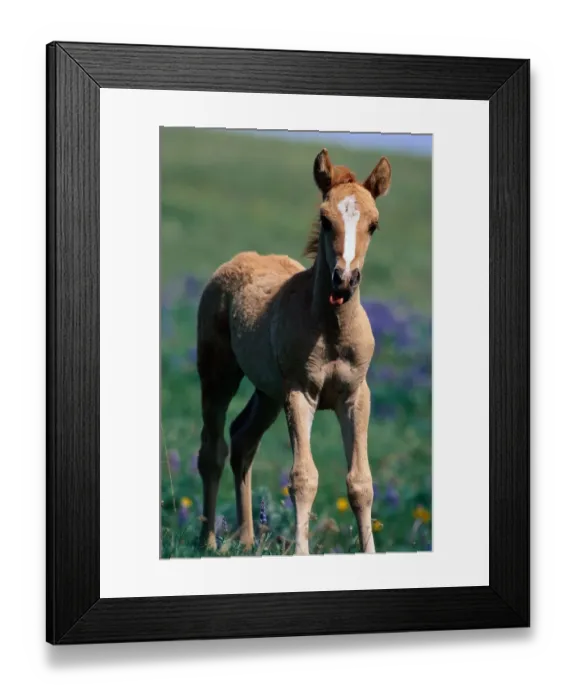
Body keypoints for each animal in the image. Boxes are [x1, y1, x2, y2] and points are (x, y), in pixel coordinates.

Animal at [196, 148, 392, 555]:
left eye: (374, 225)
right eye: (325, 219)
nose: (344, 281)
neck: (332, 331)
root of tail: (239, 259)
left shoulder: (355, 395)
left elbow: (361, 482)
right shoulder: (300, 393)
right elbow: (304, 477)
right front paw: (301, 552)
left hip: (268, 392)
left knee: (243, 440)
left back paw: (248, 539)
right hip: (218, 373)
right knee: (213, 449)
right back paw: (208, 541)